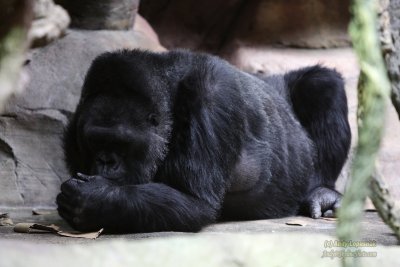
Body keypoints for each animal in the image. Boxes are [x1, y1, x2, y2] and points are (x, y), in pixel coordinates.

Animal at [56, 49, 350, 233]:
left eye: (122, 143)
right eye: (94, 142)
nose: (106, 161)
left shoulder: (213, 95)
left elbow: (195, 202)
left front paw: (94, 200)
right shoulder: (75, 127)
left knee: (321, 83)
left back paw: (321, 191)